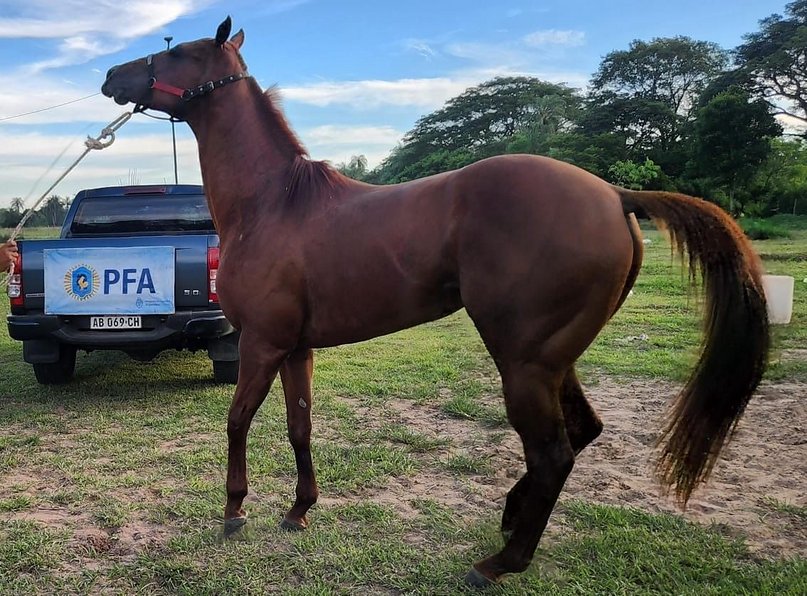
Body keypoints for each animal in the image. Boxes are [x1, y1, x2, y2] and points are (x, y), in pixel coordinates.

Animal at [101, 17, 769, 587]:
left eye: (178, 52)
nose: (110, 76)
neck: (273, 203)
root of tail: (613, 193)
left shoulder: (261, 345)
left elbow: (237, 420)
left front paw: (235, 510)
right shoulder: (296, 349)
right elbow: (299, 426)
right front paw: (299, 510)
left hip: (524, 363)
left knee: (552, 452)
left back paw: (501, 561)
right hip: (556, 360)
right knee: (581, 432)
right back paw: (511, 516)